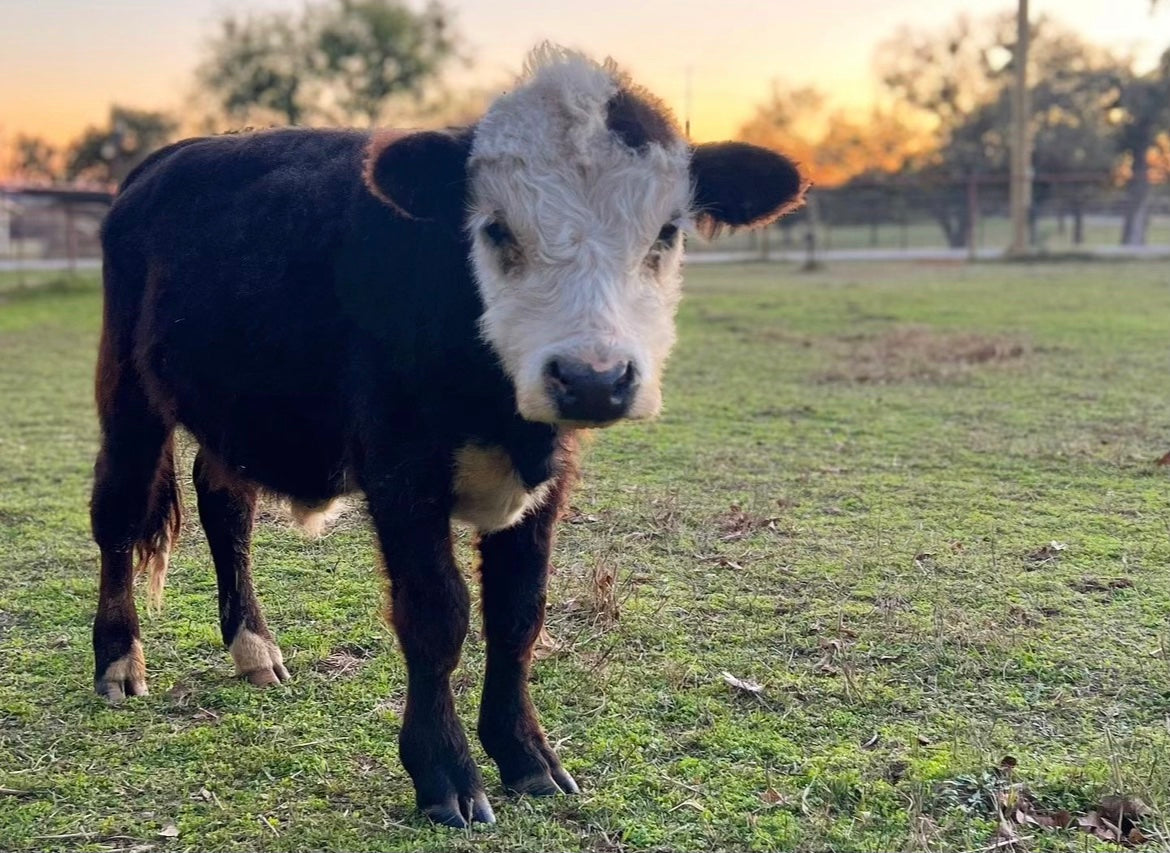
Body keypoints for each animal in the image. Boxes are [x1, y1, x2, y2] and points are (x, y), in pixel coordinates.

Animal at [91, 46, 804, 823]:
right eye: (495, 228)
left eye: (667, 233)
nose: (592, 378)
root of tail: (169, 157)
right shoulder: (401, 472)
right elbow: (437, 613)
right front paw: (446, 774)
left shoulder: (550, 477)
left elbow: (518, 611)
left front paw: (525, 755)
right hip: (128, 391)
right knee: (117, 516)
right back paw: (119, 662)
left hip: (239, 409)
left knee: (226, 506)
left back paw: (255, 650)